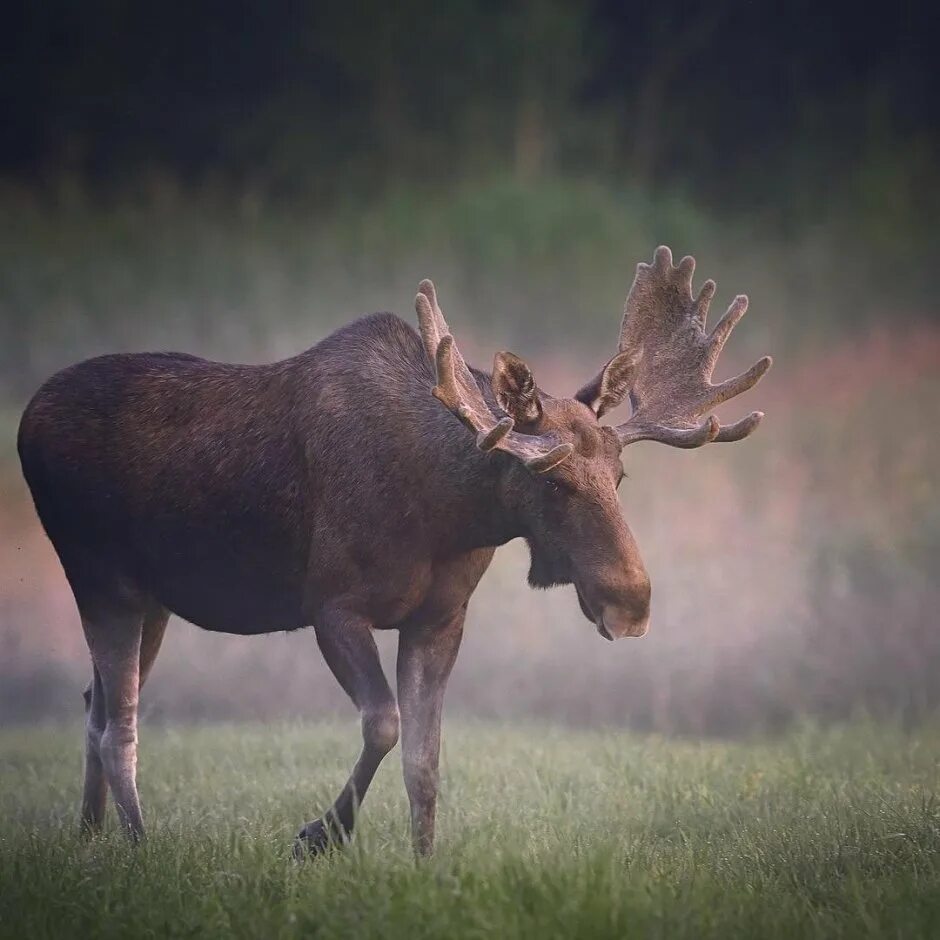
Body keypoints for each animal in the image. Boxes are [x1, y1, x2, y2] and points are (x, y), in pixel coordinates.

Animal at [18, 246, 772, 856]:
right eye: (551, 479)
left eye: (619, 475)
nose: (632, 602)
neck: (444, 514)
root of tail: (26, 419)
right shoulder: (331, 604)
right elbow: (382, 724)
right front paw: (317, 835)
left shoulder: (439, 616)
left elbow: (424, 757)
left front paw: (425, 865)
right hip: (99, 576)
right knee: (119, 725)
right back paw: (140, 848)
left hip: (153, 599)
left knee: (94, 704)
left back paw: (89, 840)